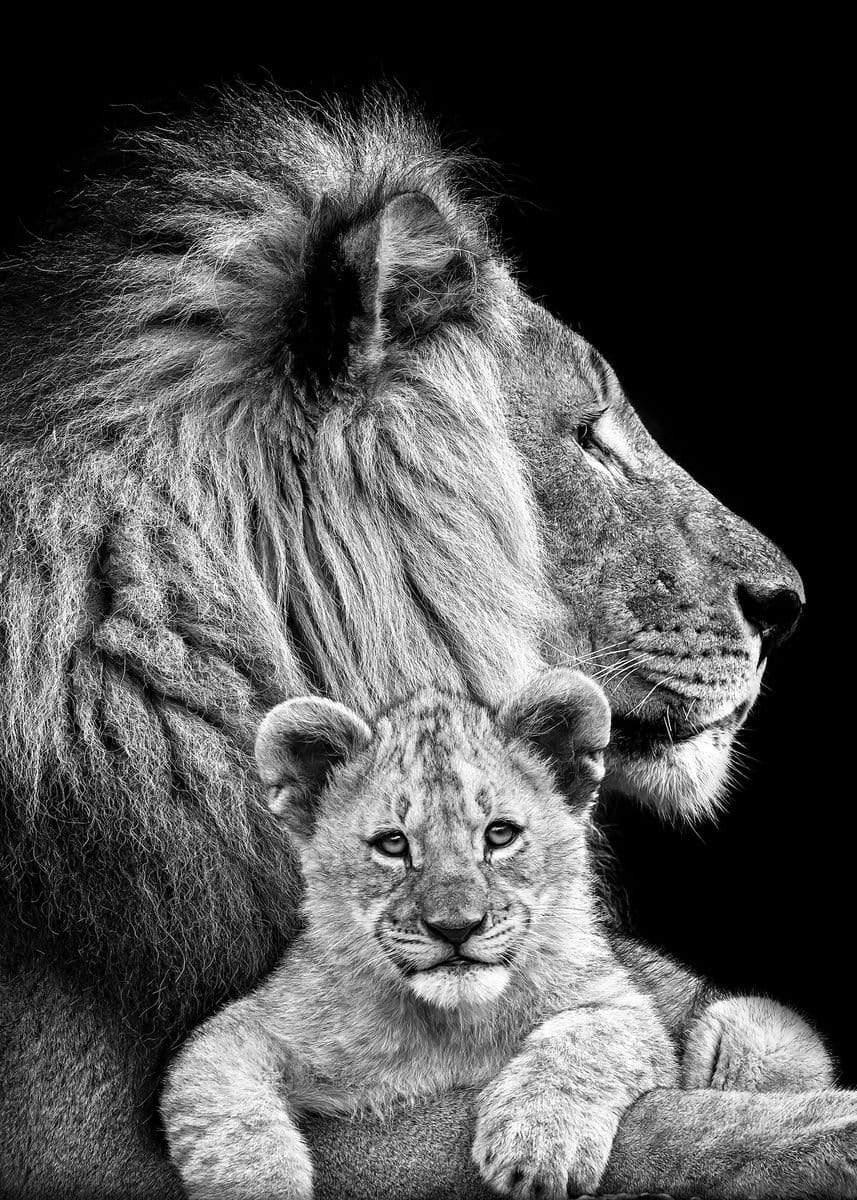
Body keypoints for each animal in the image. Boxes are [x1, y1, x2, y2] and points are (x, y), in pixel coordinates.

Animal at [163, 669, 679, 1200]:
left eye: (500, 834)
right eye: (392, 844)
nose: (456, 926)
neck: (449, 1028)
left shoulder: (623, 1000)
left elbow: (591, 1035)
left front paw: (537, 1143)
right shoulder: (243, 1029)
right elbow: (228, 1115)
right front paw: (264, 1185)